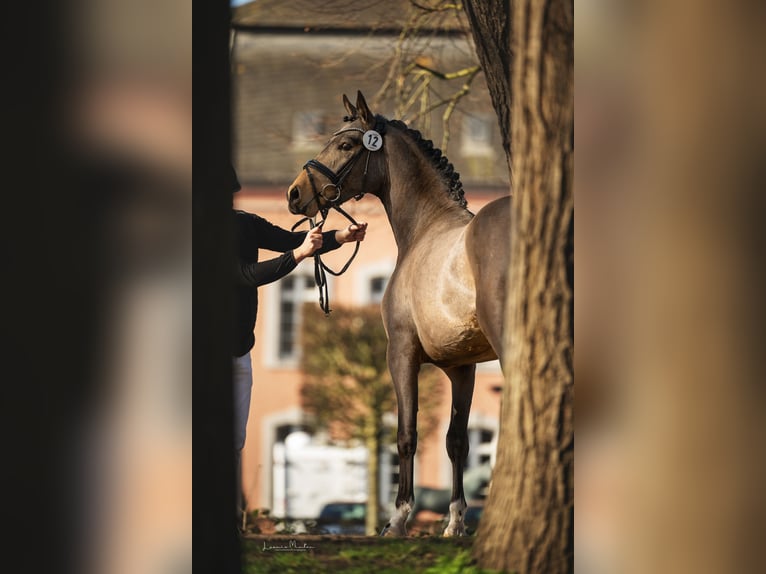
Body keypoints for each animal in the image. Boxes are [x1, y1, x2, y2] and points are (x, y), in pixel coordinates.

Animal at [287, 91, 510, 536]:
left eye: (346, 144)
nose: (295, 194)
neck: (425, 229)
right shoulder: (462, 367)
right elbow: (456, 440)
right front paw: (454, 523)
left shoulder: (401, 354)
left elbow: (407, 434)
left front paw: (398, 518)